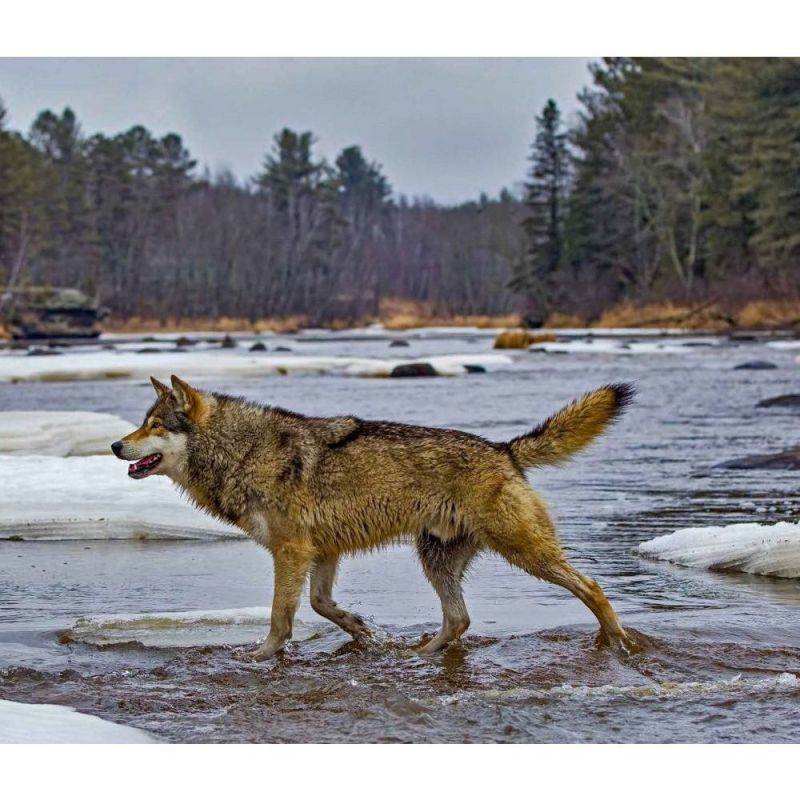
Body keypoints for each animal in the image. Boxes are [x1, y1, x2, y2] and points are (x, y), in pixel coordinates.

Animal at [111, 375, 636, 660]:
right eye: (141, 423)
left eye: (154, 426)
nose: (115, 445)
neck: (243, 452)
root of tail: (504, 450)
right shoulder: (320, 552)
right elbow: (322, 605)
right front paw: (362, 629)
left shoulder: (291, 551)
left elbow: (281, 616)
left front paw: (260, 656)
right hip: (435, 560)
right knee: (459, 619)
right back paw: (420, 653)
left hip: (525, 554)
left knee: (592, 587)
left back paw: (618, 642)